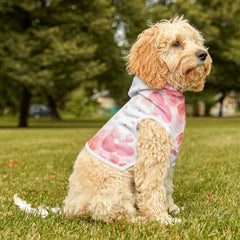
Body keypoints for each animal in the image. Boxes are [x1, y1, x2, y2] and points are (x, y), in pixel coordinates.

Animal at [14, 16, 211, 223]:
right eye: (176, 43)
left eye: (196, 41)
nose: (203, 54)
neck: (164, 91)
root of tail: (70, 207)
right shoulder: (151, 156)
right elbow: (153, 190)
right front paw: (162, 219)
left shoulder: (167, 157)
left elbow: (166, 187)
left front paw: (172, 209)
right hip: (116, 183)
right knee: (116, 214)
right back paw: (141, 219)